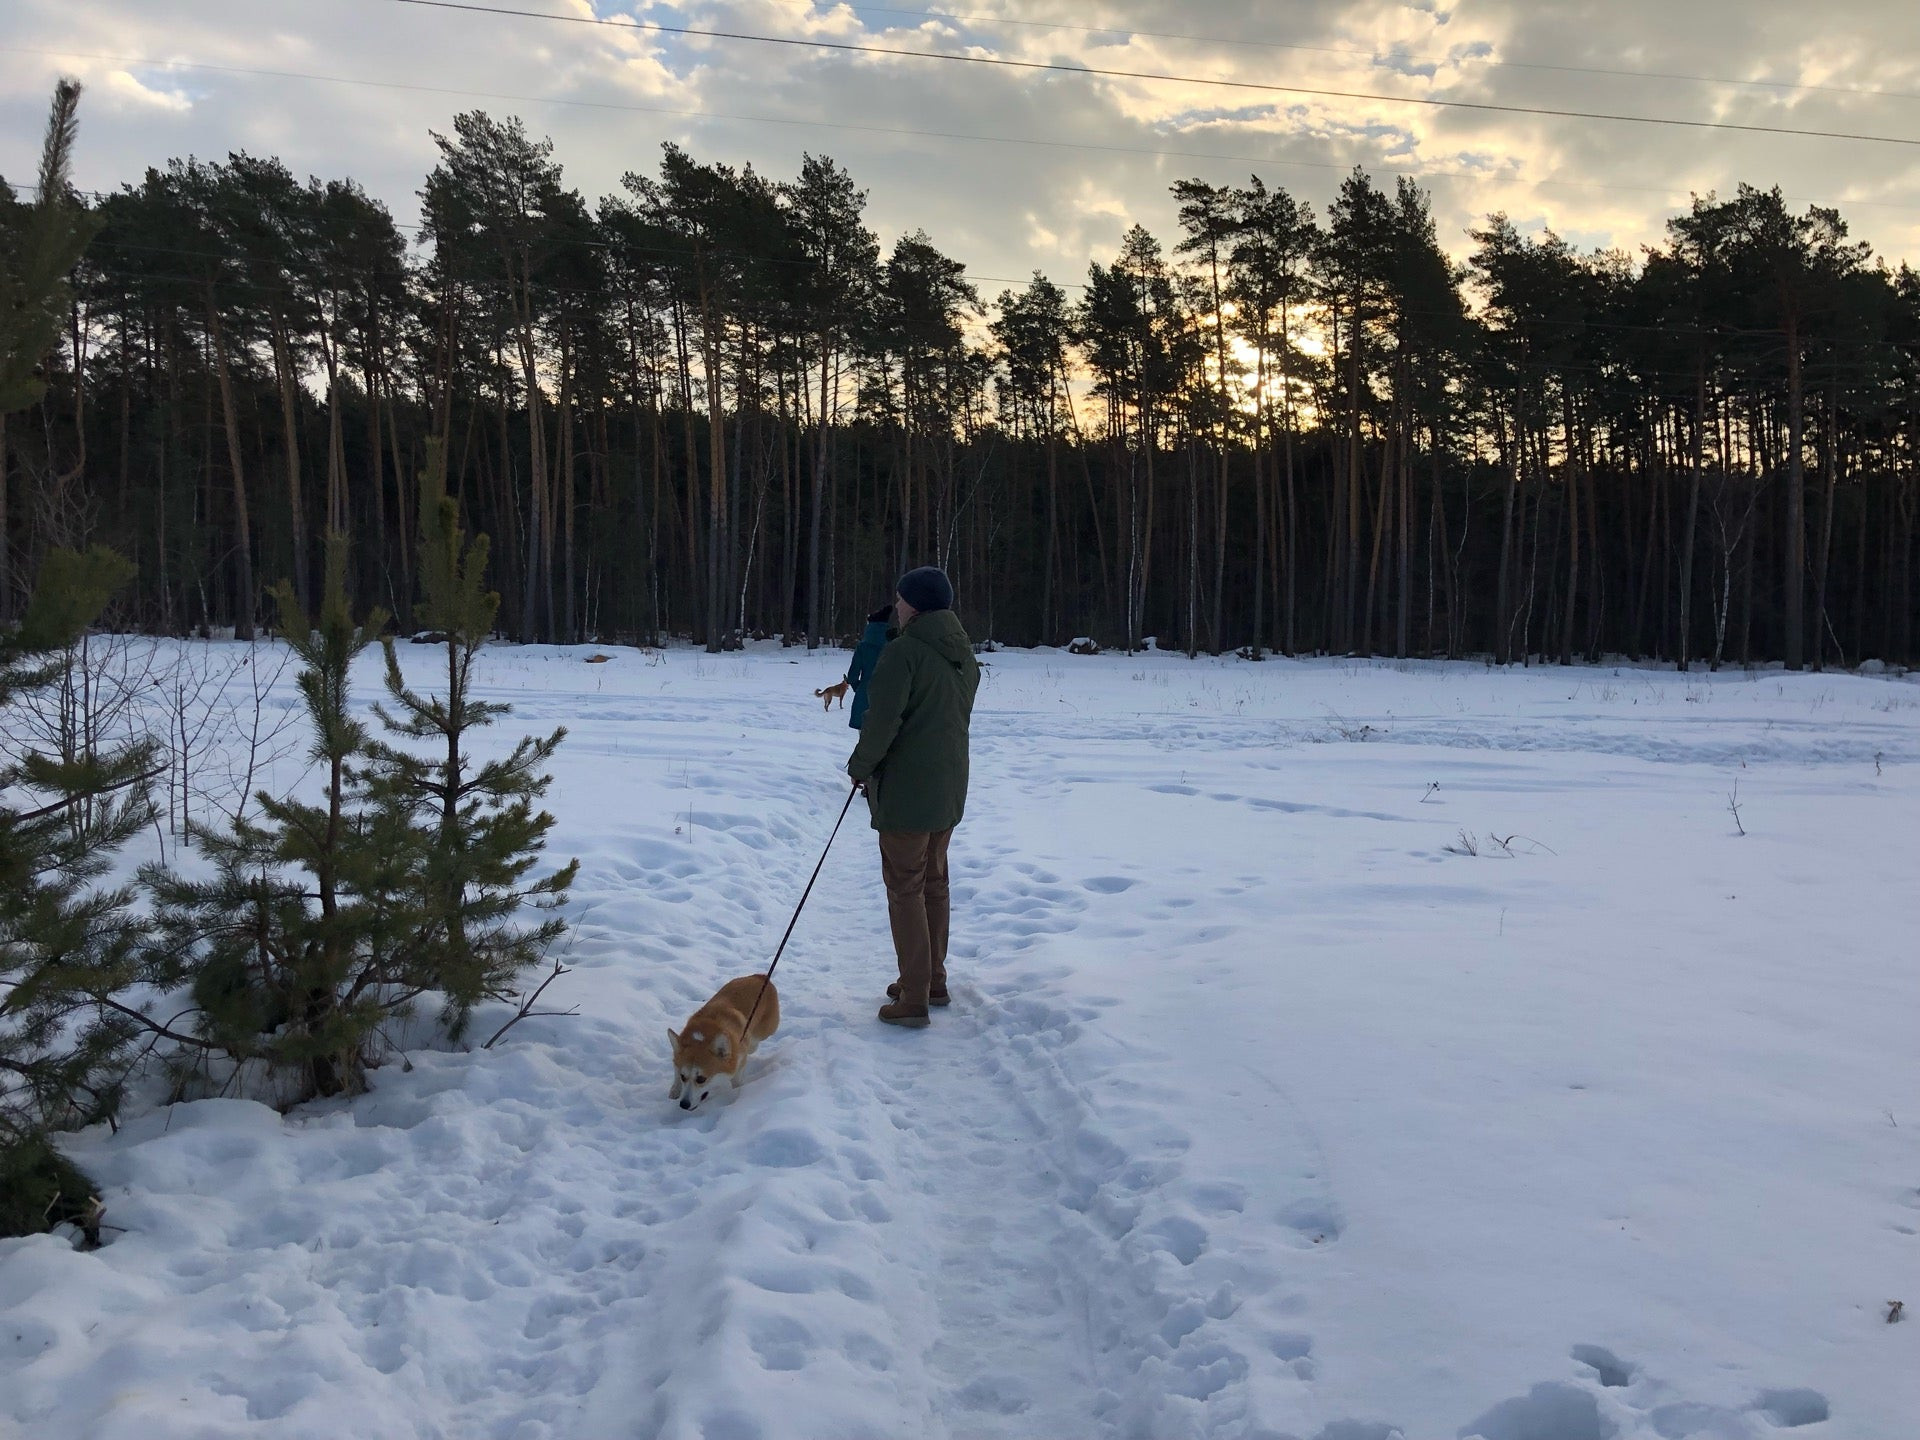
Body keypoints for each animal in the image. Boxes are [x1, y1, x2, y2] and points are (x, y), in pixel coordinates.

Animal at [664, 983, 775, 1113]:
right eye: (683, 1077)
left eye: (701, 1079)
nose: (683, 1105)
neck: (702, 1036)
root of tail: (762, 978)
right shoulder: (677, 1059)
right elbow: (676, 1069)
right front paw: (675, 1089)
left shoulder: (740, 1059)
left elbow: (736, 1080)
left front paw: (737, 1093)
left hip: (766, 1031)